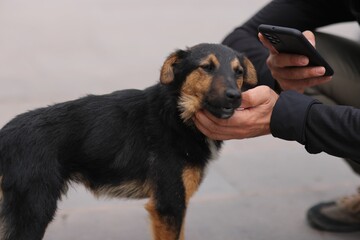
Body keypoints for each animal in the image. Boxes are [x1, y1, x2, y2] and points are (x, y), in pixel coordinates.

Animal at [0, 43, 256, 240]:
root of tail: (5, 135)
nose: (235, 96)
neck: (176, 114)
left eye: (239, 72)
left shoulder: (177, 206)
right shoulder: (169, 204)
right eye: (206, 67)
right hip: (32, 211)